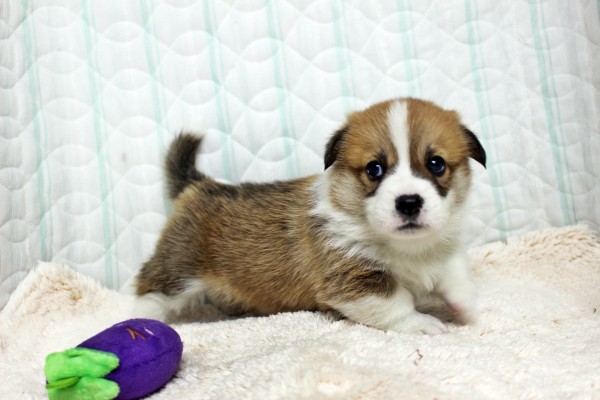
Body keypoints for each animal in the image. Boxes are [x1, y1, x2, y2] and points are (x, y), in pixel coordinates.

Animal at [134, 97, 486, 334]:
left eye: (436, 164)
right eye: (374, 169)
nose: (409, 202)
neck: (405, 246)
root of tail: (199, 184)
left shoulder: (442, 250)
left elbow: (455, 276)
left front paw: (468, 308)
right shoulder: (354, 282)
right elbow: (395, 305)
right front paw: (423, 324)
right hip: (178, 265)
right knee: (149, 288)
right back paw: (134, 317)